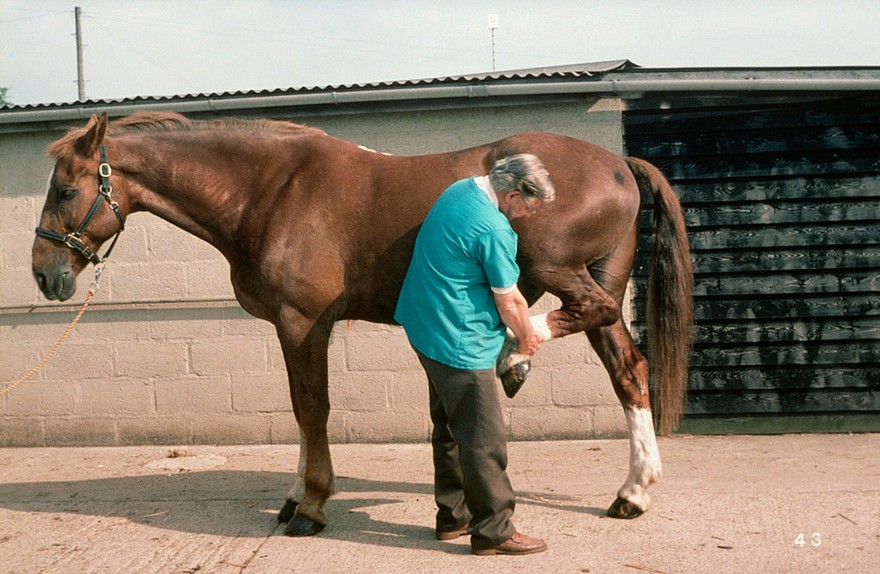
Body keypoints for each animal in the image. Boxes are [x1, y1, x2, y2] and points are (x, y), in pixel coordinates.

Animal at [31, 111, 693, 537]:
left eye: (65, 190)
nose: (44, 274)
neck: (270, 190)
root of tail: (616, 163)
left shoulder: (302, 323)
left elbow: (310, 408)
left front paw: (310, 506)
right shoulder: (293, 326)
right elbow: (301, 410)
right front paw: (296, 494)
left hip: (555, 267)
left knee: (588, 319)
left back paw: (515, 355)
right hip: (597, 277)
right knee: (628, 370)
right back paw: (632, 492)